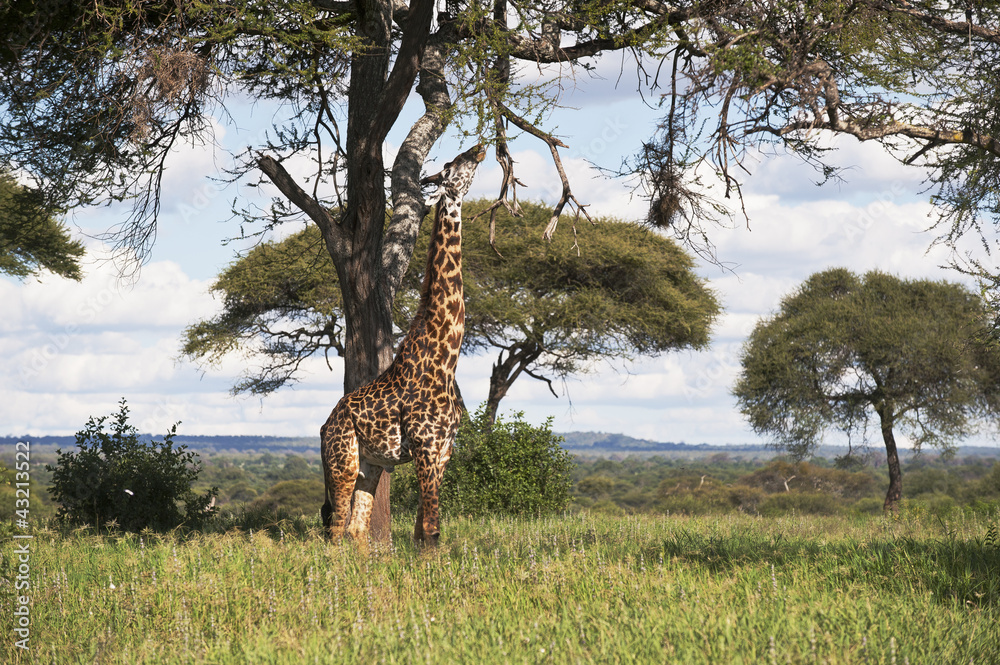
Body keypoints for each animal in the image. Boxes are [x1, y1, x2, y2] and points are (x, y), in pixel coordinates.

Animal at [320, 144, 486, 546]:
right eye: (451, 164)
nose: (478, 148)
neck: (447, 357)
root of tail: (324, 426)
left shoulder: (444, 449)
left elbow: (424, 531)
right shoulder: (425, 445)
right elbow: (431, 529)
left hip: (371, 465)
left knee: (356, 529)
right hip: (342, 463)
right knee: (334, 530)